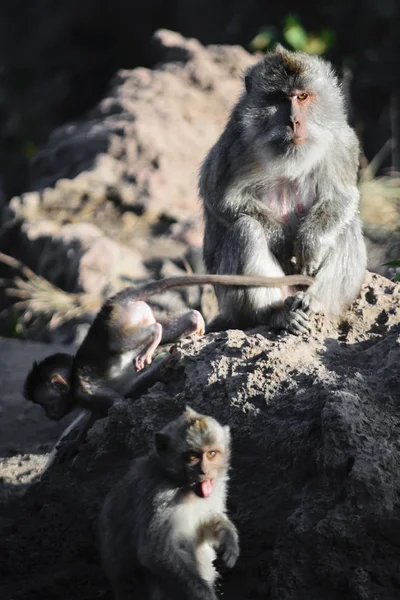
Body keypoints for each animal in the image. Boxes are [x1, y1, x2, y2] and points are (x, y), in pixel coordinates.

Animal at [24, 272, 312, 460]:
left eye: (46, 403)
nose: (49, 415)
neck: (73, 379)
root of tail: (115, 302)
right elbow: (99, 412)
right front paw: (74, 441)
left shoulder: (87, 392)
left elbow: (115, 405)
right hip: (133, 316)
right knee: (179, 322)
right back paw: (194, 324)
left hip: (119, 325)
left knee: (137, 336)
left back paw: (155, 338)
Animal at [202, 44, 368, 336]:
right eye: (280, 99)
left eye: (302, 96)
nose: (293, 122)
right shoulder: (235, 142)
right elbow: (221, 198)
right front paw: (281, 241)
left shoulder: (343, 141)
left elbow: (342, 197)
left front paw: (309, 244)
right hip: (235, 301)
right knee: (247, 230)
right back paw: (274, 314)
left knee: (346, 226)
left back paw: (314, 300)